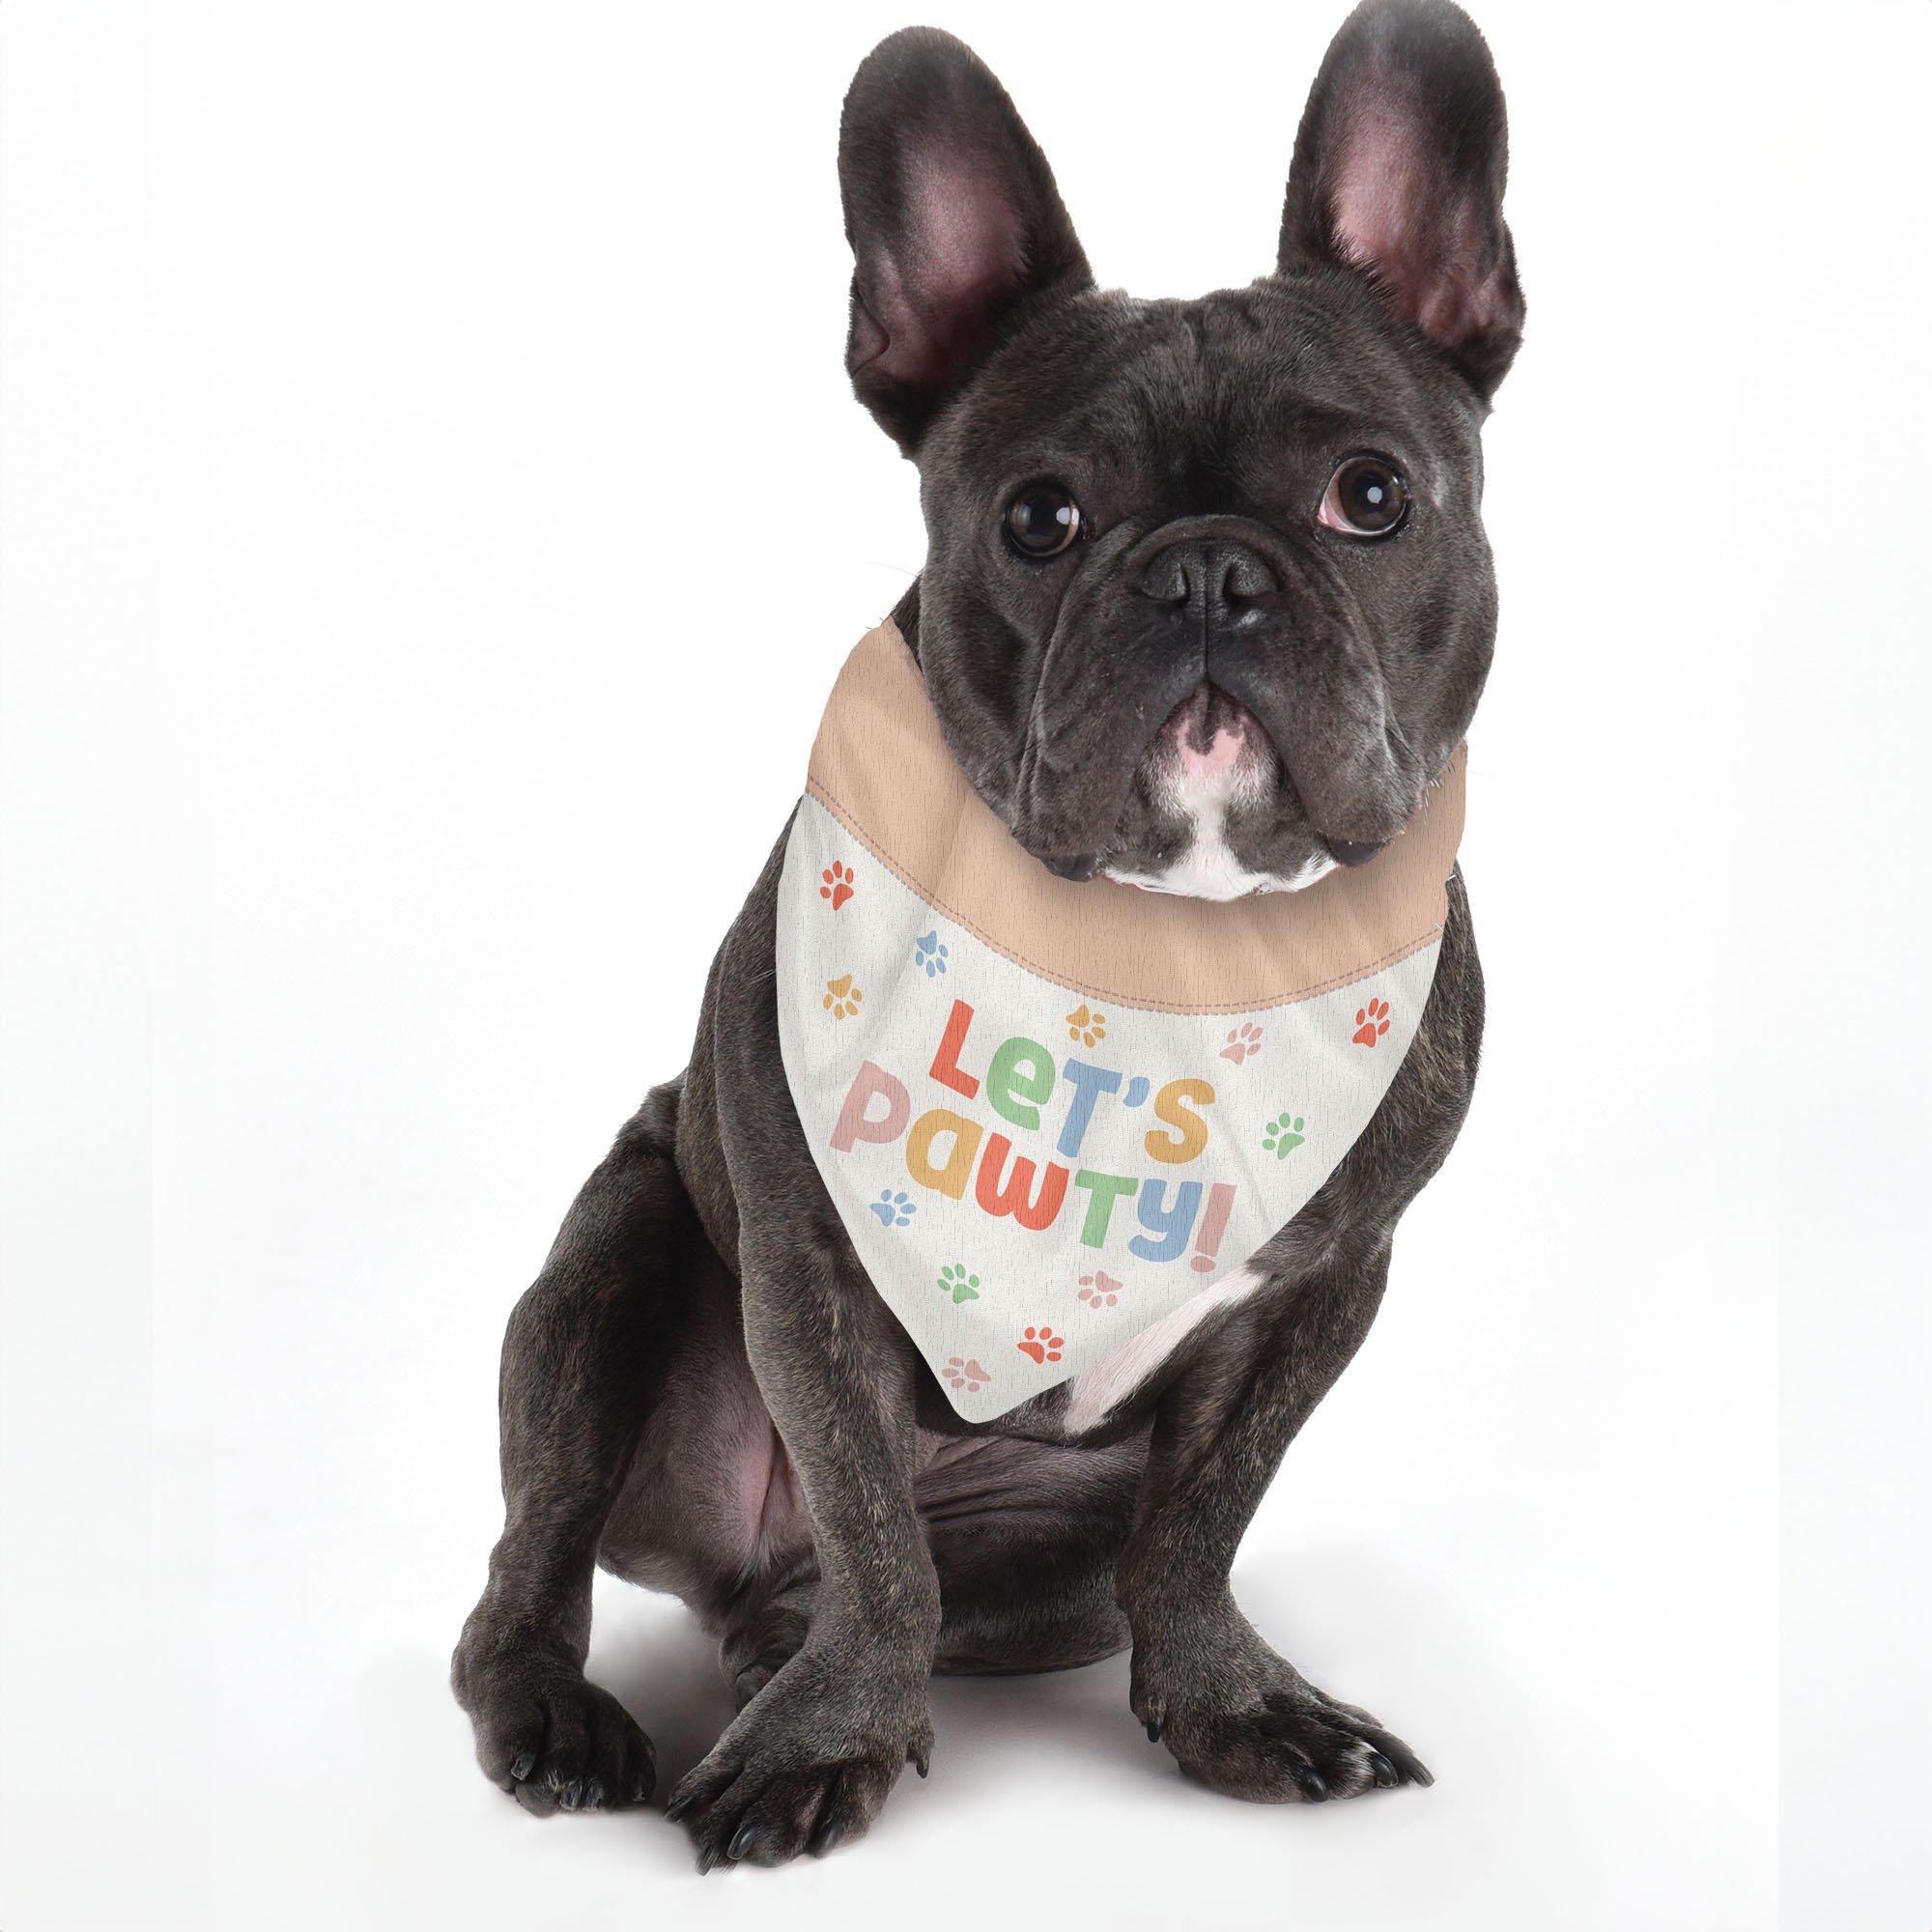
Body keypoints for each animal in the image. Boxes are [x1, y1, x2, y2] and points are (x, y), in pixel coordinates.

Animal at [452, 0, 1522, 1870]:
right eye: (1040, 518)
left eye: (1372, 495)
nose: (1208, 572)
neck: (1167, 957)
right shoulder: (811, 1270)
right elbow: (877, 1520)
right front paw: (833, 1743)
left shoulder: (1325, 1287)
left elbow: (1203, 1522)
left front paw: (1236, 1705)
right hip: (609, 1264)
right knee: (546, 1560)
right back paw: (576, 1716)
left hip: (1047, 1568)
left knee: (952, 1587)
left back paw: (778, 1660)